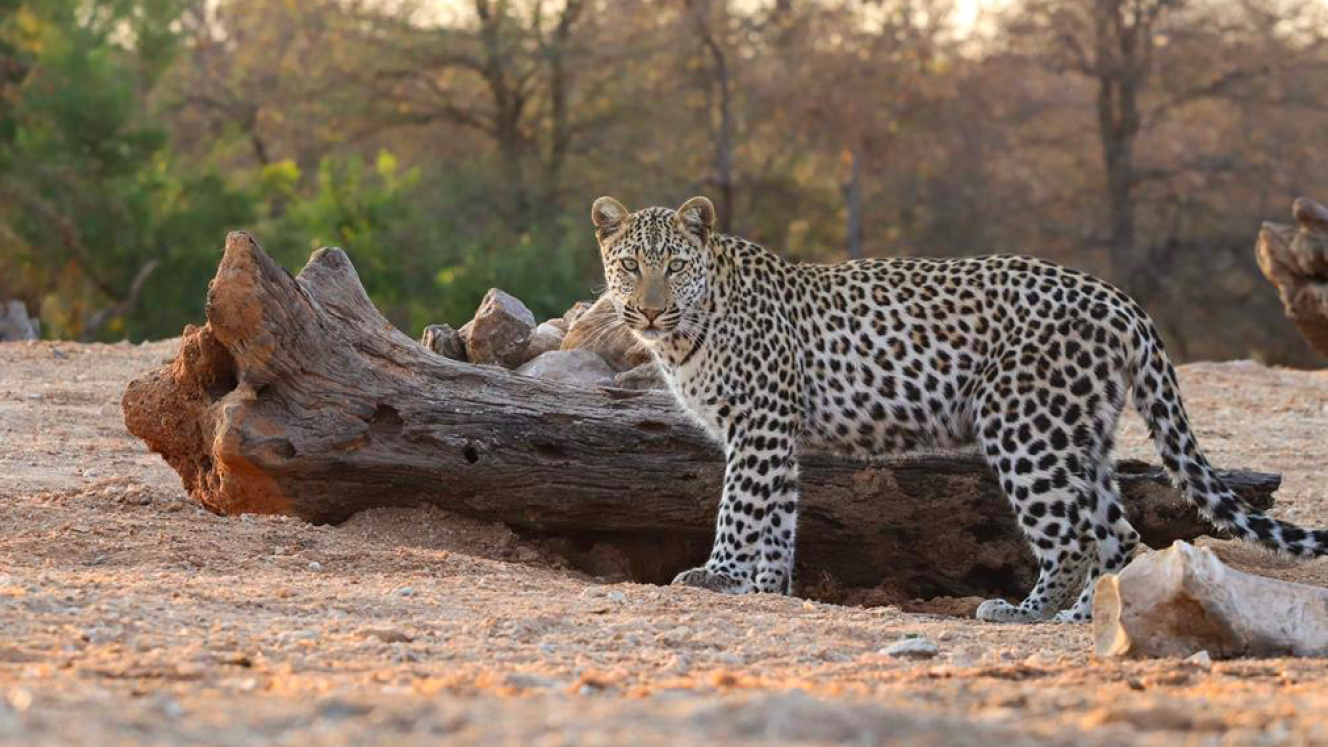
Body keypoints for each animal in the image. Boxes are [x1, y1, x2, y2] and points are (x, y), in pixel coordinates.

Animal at [590, 194, 1328, 623]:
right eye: (629, 265)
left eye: (674, 266)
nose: (649, 309)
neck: (689, 326)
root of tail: (1117, 297)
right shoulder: (775, 433)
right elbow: (777, 517)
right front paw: (766, 587)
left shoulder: (760, 423)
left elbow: (741, 507)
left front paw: (716, 577)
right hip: (1078, 431)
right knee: (1118, 533)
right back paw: (1085, 617)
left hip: (1024, 425)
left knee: (1076, 535)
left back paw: (1025, 612)